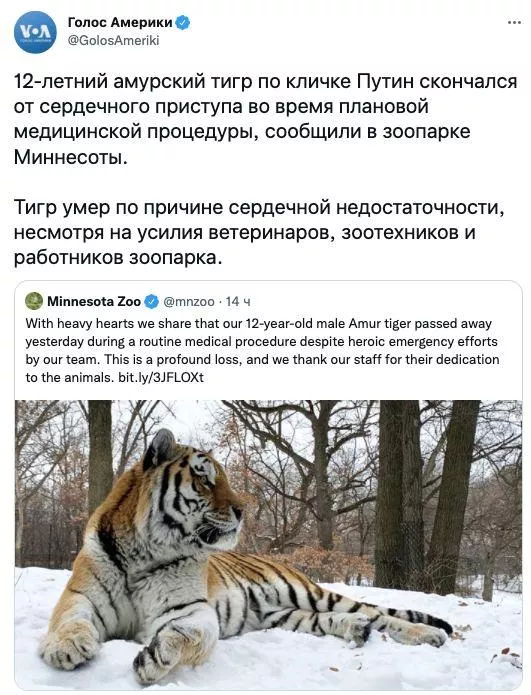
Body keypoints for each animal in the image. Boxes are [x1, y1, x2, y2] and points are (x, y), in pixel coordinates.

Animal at [39, 429, 453, 684]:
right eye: (205, 479)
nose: (242, 510)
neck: (144, 550)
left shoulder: (189, 610)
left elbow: (186, 635)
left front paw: (156, 658)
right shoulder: (80, 596)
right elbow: (70, 621)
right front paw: (65, 648)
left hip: (309, 593)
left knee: (380, 614)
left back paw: (429, 634)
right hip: (283, 615)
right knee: (337, 620)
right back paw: (356, 630)